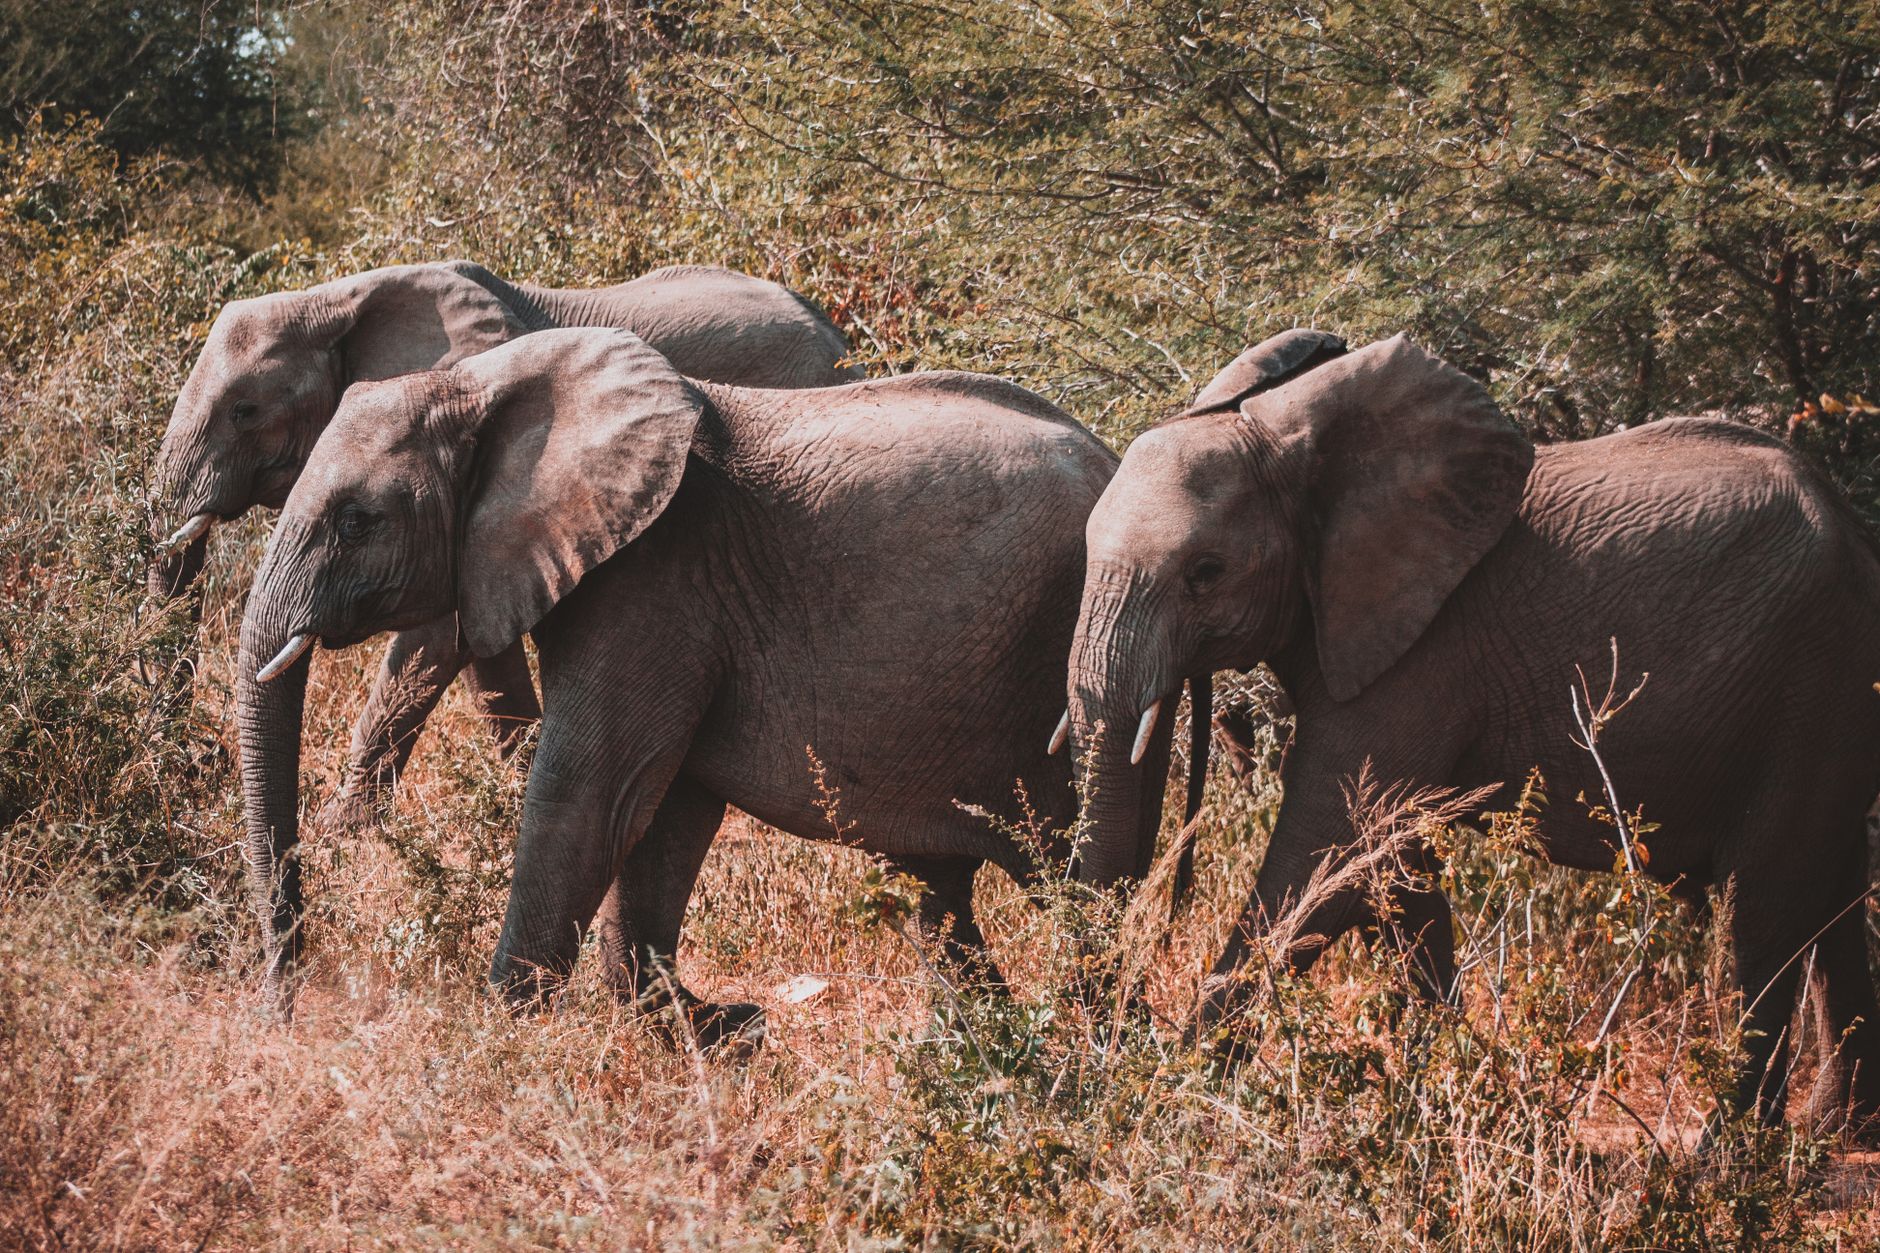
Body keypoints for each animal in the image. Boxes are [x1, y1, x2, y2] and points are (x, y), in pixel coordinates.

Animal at [150, 260, 859, 830]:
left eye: (244, 411)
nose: (196, 761)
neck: (338, 297)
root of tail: (836, 335)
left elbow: (435, 642)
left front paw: (338, 836)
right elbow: (479, 646)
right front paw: (515, 786)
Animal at [235, 326, 1157, 1043]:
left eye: (359, 521)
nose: (282, 1013)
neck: (487, 382)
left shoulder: (657, 574)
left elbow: (590, 790)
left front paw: (498, 1043)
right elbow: (664, 809)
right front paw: (711, 1029)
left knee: (1072, 882)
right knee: (943, 896)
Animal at [1063, 330, 1880, 1136]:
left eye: (1206, 571)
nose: (1123, 1034)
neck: (1295, 443)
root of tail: (1854, 527)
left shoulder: (1425, 652)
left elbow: (1332, 850)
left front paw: (1173, 1097)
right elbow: (1396, 872)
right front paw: (1446, 1090)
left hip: (1815, 675)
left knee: (1763, 909)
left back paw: (1725, 1151)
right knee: (1828, 896)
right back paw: (1833, 1130)